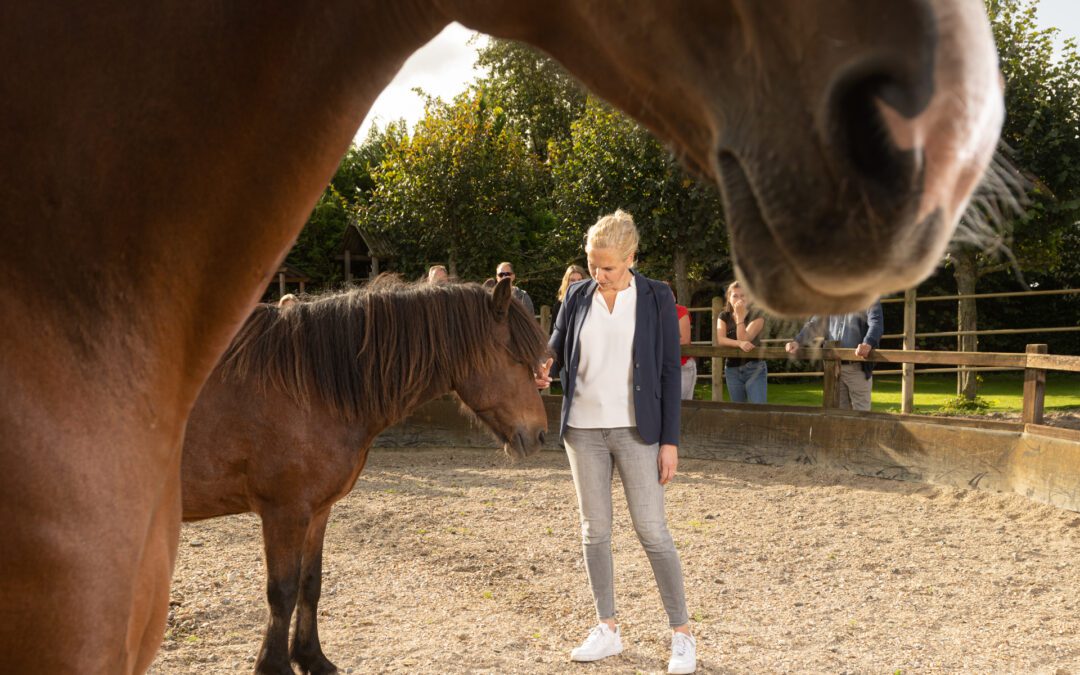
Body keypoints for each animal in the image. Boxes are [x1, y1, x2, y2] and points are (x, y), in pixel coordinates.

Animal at [183, 275, 548, 673]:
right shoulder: (284, 513)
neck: (307, 386)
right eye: (516, 358)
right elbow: (281, 592)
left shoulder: (316, 511)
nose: (540, 434)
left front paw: (312, 658)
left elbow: (310, 583)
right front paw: (274, 665)